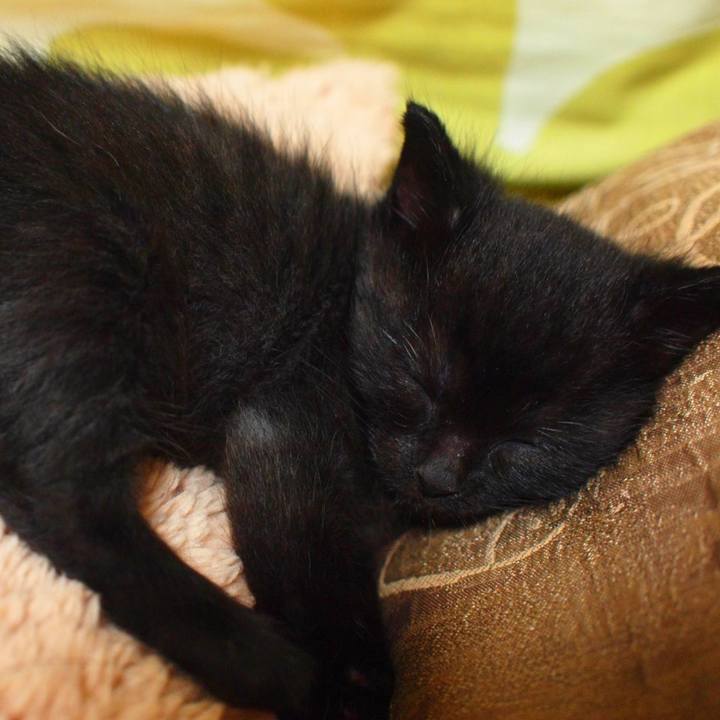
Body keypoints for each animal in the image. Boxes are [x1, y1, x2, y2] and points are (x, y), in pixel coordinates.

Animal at [1, 51, 719, 720]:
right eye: (420, 382)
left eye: (528, 440)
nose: (438, 477)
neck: (348, 294)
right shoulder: (287, 417)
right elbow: (312, 560)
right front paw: (352, 683)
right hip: (82, 273)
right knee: (65, 503)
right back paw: (271, 668)